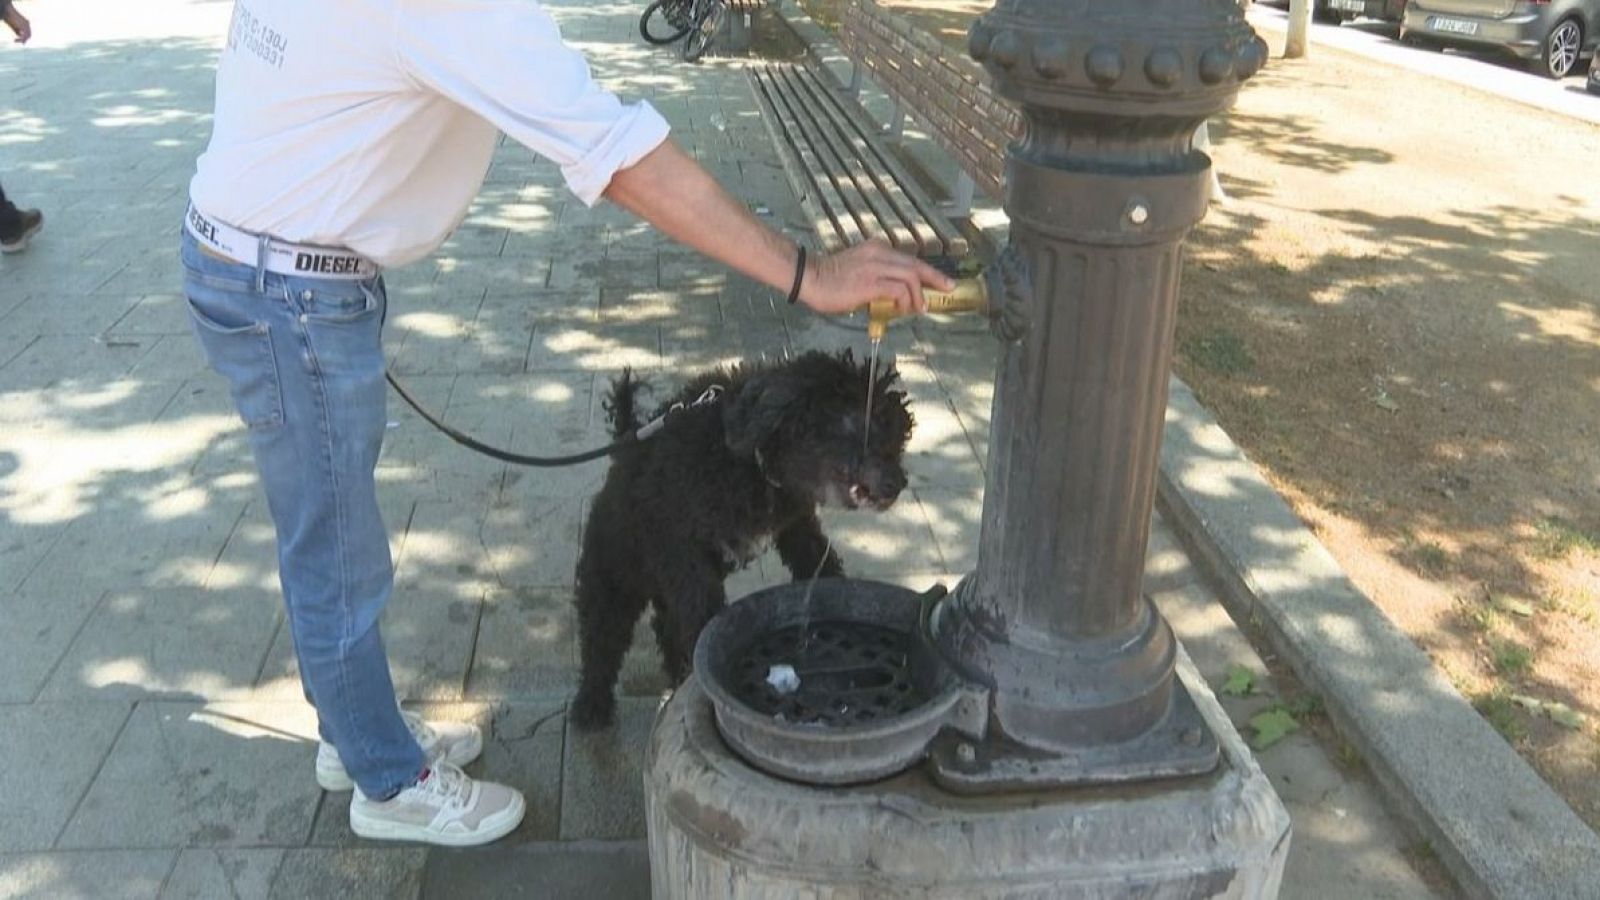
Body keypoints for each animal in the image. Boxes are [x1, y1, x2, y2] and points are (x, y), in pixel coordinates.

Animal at [572, 347, 915, 723]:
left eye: (896, 438)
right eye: (856, 425)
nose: (898, 483)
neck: (750, 463)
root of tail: (624, 444)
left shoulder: (795, 524)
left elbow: (816, 558)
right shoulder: (686, 557)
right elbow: (702, 616)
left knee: (664, 627)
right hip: (613, 579)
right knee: (601, 642)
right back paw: (590, 707)